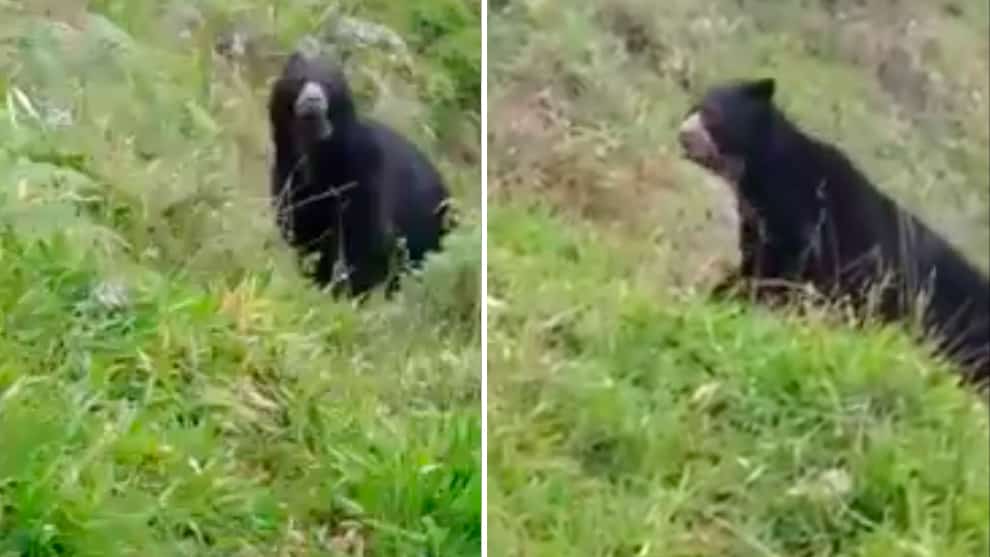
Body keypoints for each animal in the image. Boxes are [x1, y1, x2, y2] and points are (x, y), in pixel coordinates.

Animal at [267, 48, 453, 298]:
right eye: (300, 80)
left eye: (329, 84)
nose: (313, 101)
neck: (317, 154)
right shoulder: (288, 175)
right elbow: (301, 229)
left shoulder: (365, 172)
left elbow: (363, 240)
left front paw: (343, 290)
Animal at [677, 77, 990, 387]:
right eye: (693, 107)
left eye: (713, 114)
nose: (683, 134)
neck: (762, 176)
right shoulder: (763, 225)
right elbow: (758, 264)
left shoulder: (809, 224)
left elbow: (783, 275)